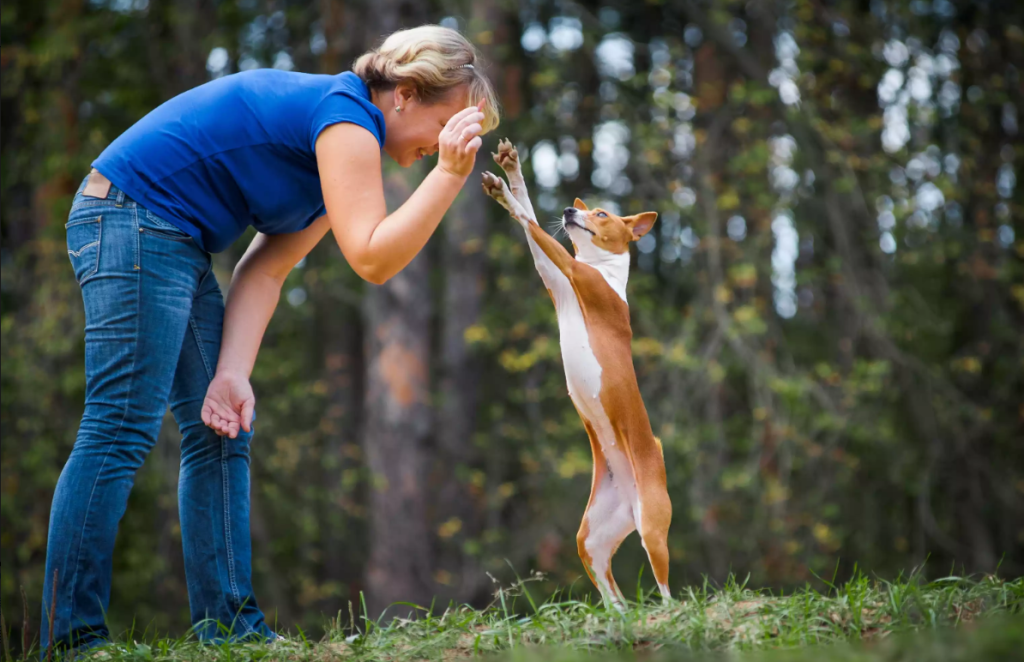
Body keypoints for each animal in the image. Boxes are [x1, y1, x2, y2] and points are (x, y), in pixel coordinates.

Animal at [485, 138, 675, 610]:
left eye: (602, 215)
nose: (571, 212)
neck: (601, 269)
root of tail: (630, 497)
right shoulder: (555, 277)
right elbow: (533, 220)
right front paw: (511, 171)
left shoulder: (574, 274)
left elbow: (527, 219)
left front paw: (504, 194)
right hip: (590, 539)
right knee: (612, 591)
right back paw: (617, 615)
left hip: (652, 529)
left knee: (667, 590)